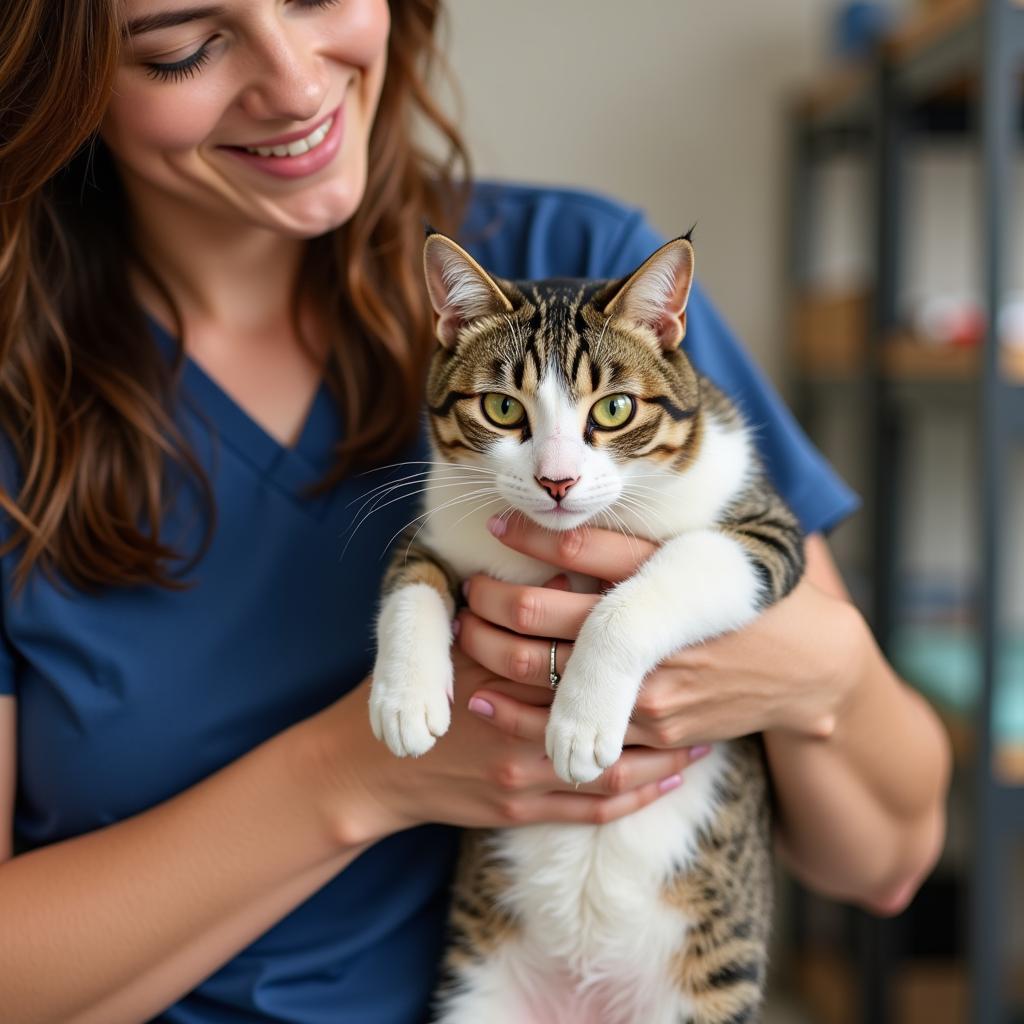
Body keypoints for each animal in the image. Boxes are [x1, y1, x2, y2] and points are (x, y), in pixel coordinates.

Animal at [364, 232, 802, 1024]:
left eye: (616, 408)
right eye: (502, 408)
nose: (557, 481)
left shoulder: (765, 531)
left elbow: (664, 576)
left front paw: (581, 721)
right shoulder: (444, 519)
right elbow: (410, 578)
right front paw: (404, 700)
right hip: (479, 990)